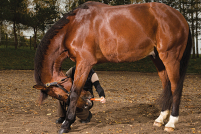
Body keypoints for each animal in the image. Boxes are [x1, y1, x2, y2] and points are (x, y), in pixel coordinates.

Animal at [32, 1, 192, 133]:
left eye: (58, 95)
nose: (87, 103)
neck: (75, 27)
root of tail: (179, 16)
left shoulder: (84, 62)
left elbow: (74, 92)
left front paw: (66, 124)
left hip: (170, 57)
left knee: (176, 87)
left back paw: (171, 122)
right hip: (157, 59)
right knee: (167, 86)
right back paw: (160, 119)